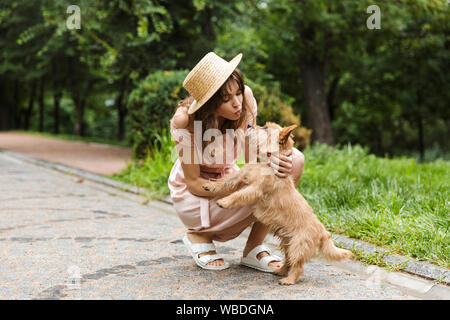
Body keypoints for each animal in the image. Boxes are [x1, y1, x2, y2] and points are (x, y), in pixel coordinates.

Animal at [202, 122, 354, 284]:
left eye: (265, 128)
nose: (249, 124)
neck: (265, 163)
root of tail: (323, 231)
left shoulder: (255, 189)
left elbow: (238, 194)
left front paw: (224, 201)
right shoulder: (241, 176)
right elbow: (225, 181)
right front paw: (210, 185)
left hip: (298, 246)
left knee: (298, 266)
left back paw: (288, 280)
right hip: (287, 243)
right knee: (288, 261)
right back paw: (280, 271)